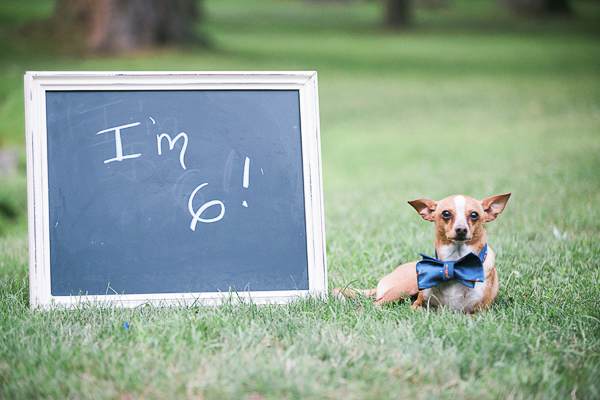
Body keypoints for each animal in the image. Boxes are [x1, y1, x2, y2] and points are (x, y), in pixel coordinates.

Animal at [332, 193, 510, 312]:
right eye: (446, 213)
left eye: (474, 215)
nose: (461, 229)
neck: (454, 264)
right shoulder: (417, 306)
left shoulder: (480, 313)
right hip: (402, 289)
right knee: (374, 305)